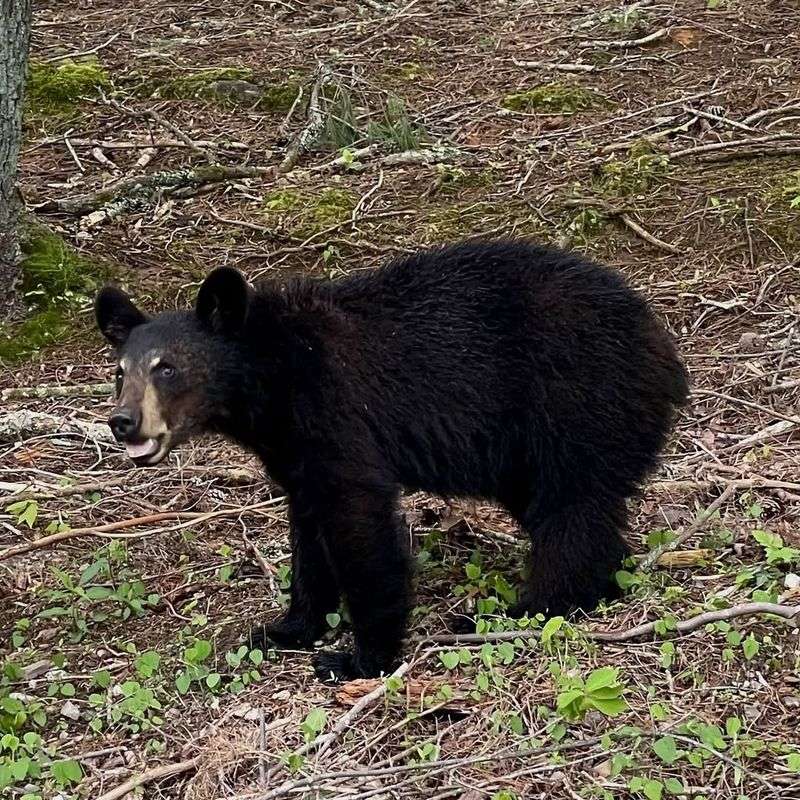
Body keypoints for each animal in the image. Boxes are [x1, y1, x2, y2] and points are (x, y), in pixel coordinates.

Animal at [95, 238, 688, 682]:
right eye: (121, 371)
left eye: (167, 367)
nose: (123, 421)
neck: (273, 374)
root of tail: (663, 347)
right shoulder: (294, 449)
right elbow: (308, 530)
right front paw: (289, 626)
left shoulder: (336, 413)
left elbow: (360, 526)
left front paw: (359, 657)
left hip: (575, 402)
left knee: (571, 511)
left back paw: (524, 608)